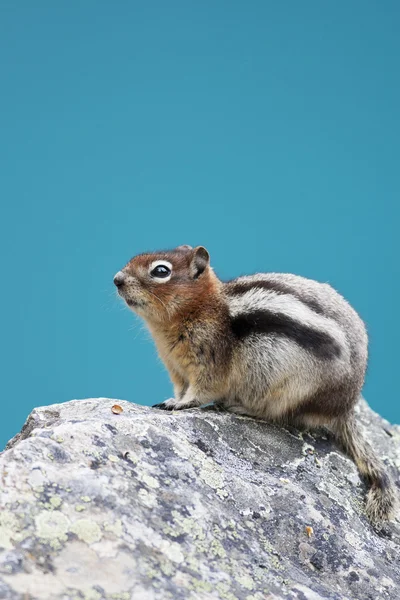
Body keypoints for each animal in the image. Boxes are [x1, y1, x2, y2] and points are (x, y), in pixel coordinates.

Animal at [114, 246, 396, 524]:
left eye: (161, 271)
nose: (117, 279)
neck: (203, 308)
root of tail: (345, 406)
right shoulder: (177, 371)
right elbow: (180, 389)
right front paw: (172, 400)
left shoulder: (208, 362)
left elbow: (200, 391)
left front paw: (181, 404)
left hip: (289, 390)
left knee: (277, 414)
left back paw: (239, 407)